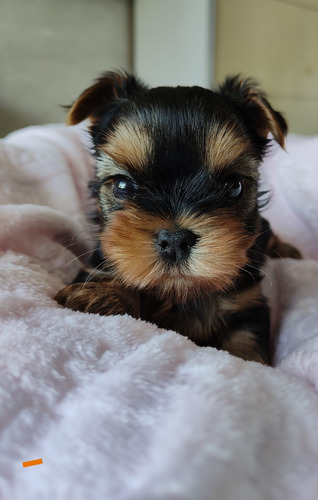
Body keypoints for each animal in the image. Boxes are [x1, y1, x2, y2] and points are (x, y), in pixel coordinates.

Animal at [56, 71, 302, 364]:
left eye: (234, 186)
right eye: (123, 186)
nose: (175, 241)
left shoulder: (248, 302)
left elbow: (247, 344)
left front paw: (246, 363)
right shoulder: (97, 265)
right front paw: (100, 295)